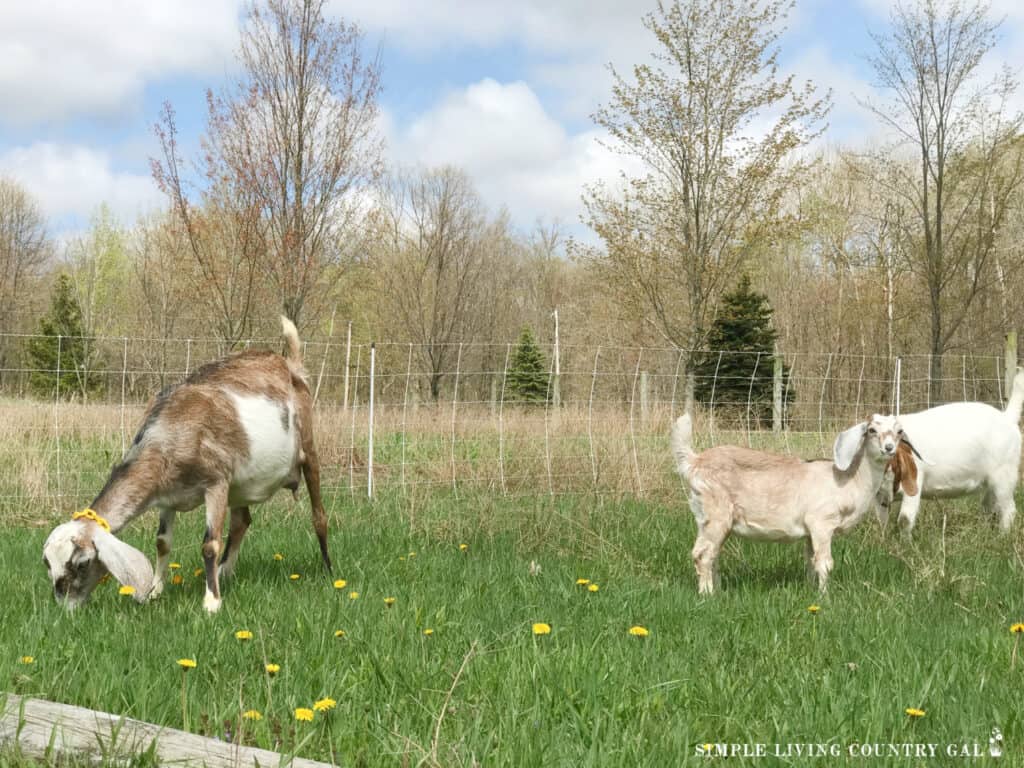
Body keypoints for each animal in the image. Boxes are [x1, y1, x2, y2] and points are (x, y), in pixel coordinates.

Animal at [42, 317, 331, 613]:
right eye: (47, 564)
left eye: (82, 562)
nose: (66, 607)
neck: (172, 431)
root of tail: (289, 364)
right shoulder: (166, 496)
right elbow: (162, 543)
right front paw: (155, 592)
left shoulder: (216, 482)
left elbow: (210, 545)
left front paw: (211, 602)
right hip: (241, 484)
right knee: (241, 521)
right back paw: (225, 572)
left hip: (307, 448)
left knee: (318, 516)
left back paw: (328, 572)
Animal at [671, 413, 918, 593]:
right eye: (872, 430)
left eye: (899, 431)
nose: (889, 448)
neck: (848, 481)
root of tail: (695, 462)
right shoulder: (822, 522)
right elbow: (825, 562)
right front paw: (825, 596)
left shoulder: (810, 531)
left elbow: (811, 561)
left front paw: (811, 590)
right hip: (716, 514)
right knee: (703, 554)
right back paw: (707, 594)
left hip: (706, 518)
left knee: (710, 553)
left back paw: (718, 590)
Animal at [877, 368, 1024, 537]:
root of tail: (1008, 418)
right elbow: (882, 521)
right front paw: (882, 539)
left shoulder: (914, 482)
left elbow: (905, 519)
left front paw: (904, 541)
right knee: (990, 506)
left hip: (1004, 475)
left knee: (1008, 509)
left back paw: (1002, 536)